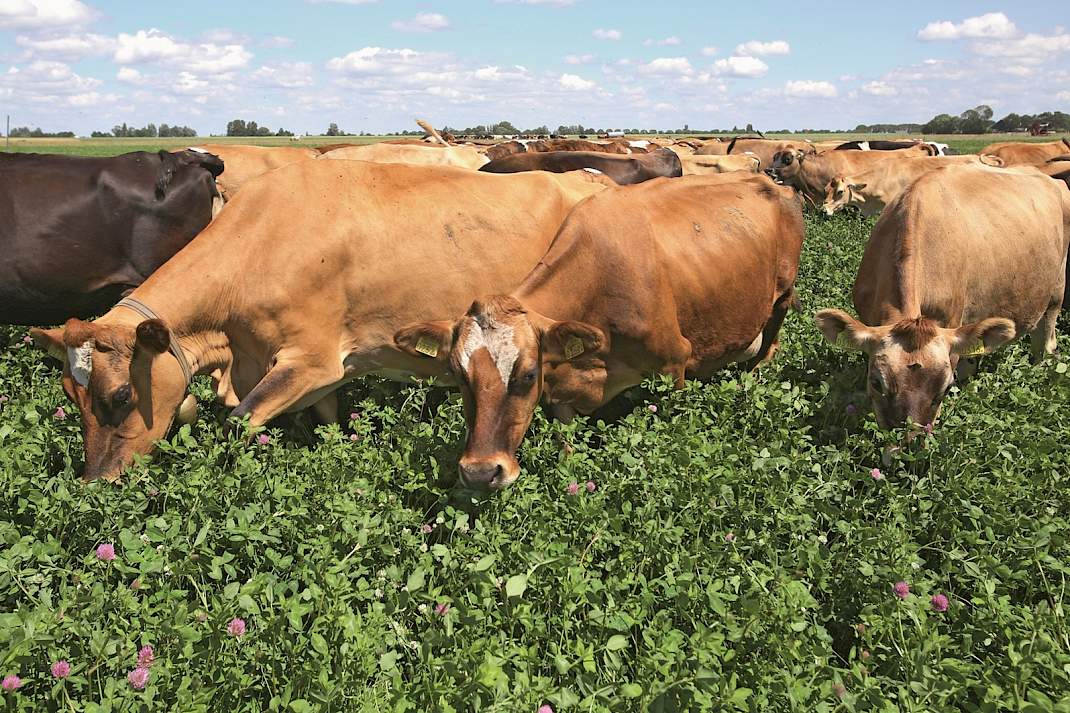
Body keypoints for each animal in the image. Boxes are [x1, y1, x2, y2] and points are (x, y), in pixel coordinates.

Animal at [29, 161, 610, 482]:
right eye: (70, 396)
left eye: (122, 395)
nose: (96, 482)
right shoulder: (329, 370)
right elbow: (328, 418)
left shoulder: (310, 359)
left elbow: (239, 422)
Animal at [393, 174, 804, 489]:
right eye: (459, 375)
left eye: (528, 375)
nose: (480, 473)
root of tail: (773, 181)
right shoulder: (561, 392)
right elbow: (567, 447)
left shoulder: (674, 364)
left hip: (782, 291)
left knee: (773, 331)